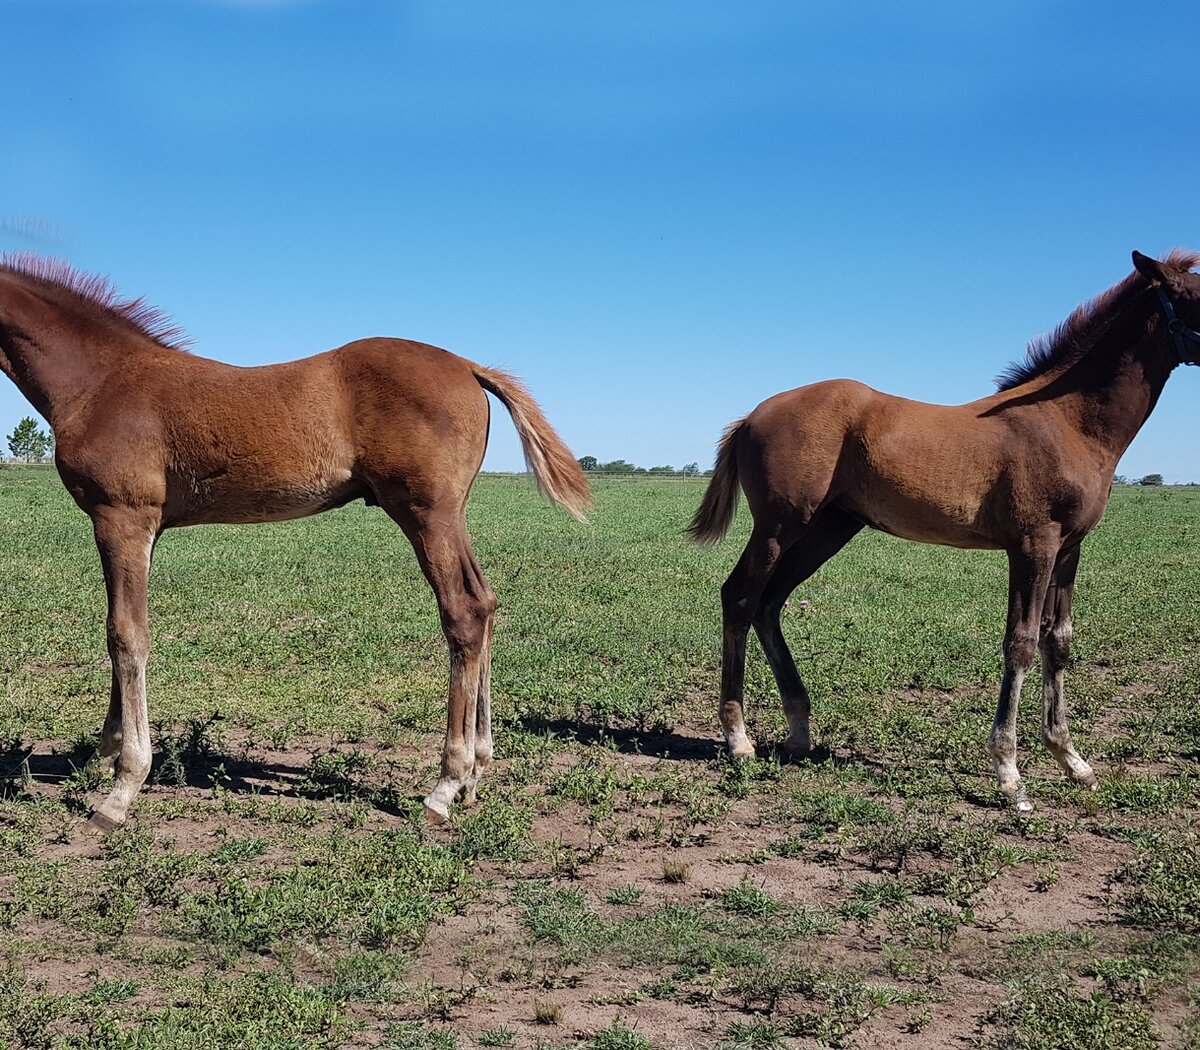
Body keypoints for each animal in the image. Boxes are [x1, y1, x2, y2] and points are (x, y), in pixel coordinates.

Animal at [0, 254, 590, 830]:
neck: (100, 381)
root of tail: (468, 365)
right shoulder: (141, 529)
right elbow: (121, 631)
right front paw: (106, 747)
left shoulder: (121, 518)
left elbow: (125, 635)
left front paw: (122, 787)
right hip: (449, 516)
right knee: (485, 604)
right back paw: (475, 774)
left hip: (428, 515)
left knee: (463, 612)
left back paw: (445, 784)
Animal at [691, 250, 1200, 811]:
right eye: (1199, 297)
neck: (1067, 421)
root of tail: (750, 417)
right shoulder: (1033, 544)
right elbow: (1021, 642)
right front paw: (1009, 772)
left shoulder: (1070, 549)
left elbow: (1058, 641)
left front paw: (1073, 761)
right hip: (780, 526)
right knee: (741, 597)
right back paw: (738, 737)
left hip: (829, 528)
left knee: (770, 603)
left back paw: (799, 732)